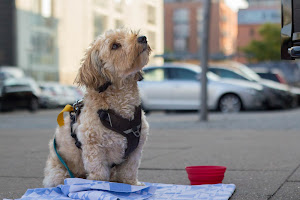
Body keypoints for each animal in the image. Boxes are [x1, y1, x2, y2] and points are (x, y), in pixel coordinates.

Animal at [42, 28, 150, 187]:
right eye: (115, 46)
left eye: (129, 32)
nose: (143, 38)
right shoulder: (94, 148)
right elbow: (99, 172)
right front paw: (99, 186)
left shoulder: (134, 151)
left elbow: (129, 171)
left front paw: (132, 184)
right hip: (59, 173)